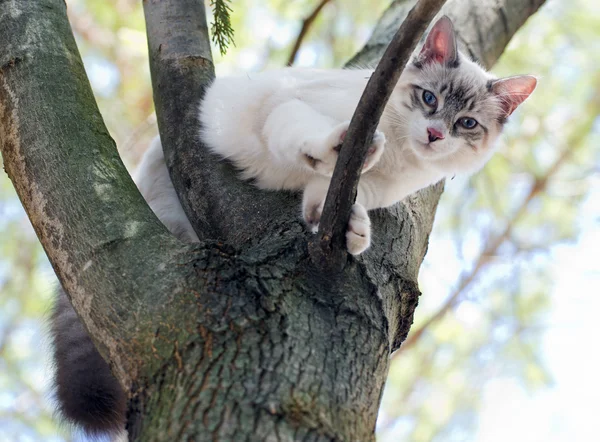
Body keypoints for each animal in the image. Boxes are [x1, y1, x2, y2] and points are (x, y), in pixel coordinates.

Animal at [135, 16, 536, 256]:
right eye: (429, 99)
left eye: (466, 123)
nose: (435, 134)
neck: (399, 152)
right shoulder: (288, 105)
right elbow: (311, 138)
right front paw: (338, 148)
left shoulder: (382, 187)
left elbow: (336, 193)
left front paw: (352, 229)